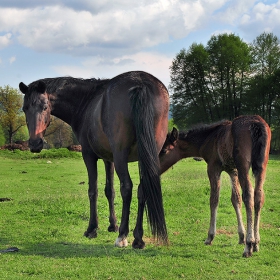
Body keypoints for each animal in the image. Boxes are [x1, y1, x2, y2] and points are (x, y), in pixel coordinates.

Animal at [19, 71, 170, 248]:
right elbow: (109, 191)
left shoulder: (89, 155)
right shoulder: (109, 159)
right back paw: (138, 238)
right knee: (142, 188)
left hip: (121, 155)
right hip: (147, 156)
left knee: (127, 187)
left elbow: (93, 191)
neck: (86, 101)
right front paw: (112, 225)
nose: (35, 143)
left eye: (44, 107)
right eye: (25, 108)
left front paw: (92, 229)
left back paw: (122, 236)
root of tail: (141, 83)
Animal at [160, 115, 272, 258]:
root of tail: (257, 123)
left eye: (164, 150)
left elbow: (214, 199)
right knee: (258, 196)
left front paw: (210, 236)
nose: (156, 166)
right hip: (262, 165)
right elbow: (235, 199)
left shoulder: (213, 168)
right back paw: (256, 243)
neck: (209, 138)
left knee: (248, 194)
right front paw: (241, 236)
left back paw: (249, 245)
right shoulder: (232, 170)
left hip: (243, 165)